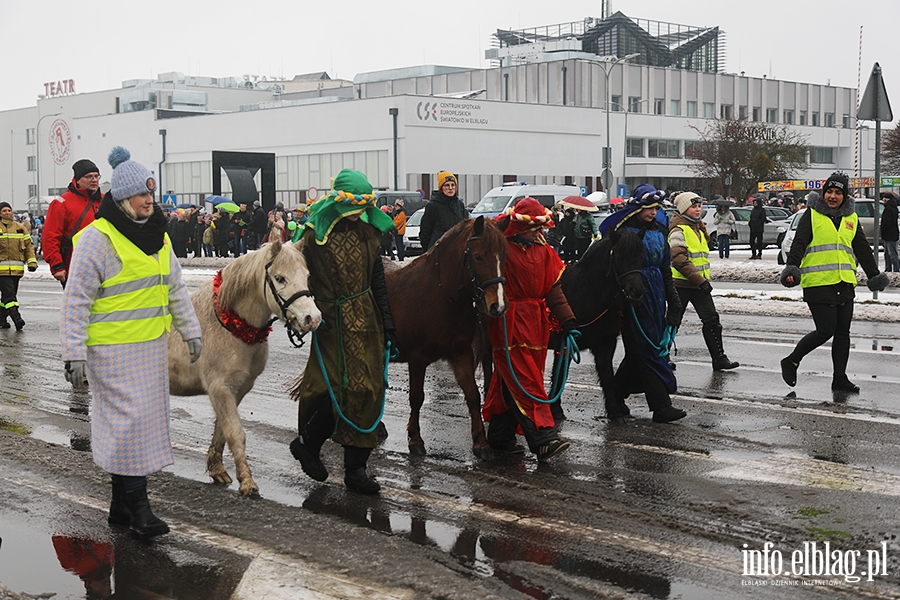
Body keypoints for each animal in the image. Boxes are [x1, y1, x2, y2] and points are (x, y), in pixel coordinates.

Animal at [169, 239, 324, 496]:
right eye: (280, 278)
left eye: (307, 275)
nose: (312, 318)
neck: (230, 326)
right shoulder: (220, 388)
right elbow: (235, 433)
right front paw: (247, 482)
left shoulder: (237, 389)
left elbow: (222, 431)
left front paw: (218, 469)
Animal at [388, 217, 510, 460]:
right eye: (479, 256)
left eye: (504, 256)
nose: (498, 306)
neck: (439, 295)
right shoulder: (417, 358)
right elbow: (417, 397)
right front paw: (415, 439)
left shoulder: (461, 354)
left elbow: (473, 395)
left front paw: (481, 443)